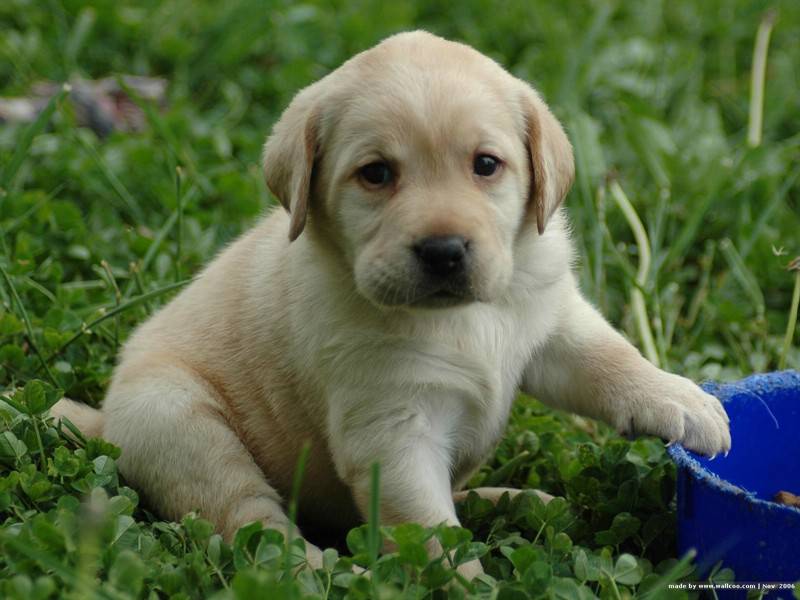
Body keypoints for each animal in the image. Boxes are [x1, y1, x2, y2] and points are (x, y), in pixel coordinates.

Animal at [54, 30, 732, 576]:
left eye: (486, 165)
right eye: (376, 174)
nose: (444, 251)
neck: (462, 318)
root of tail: (105, 421)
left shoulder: (549, 323)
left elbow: (607, 356)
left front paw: (681, 400)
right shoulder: (393, 433)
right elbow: (430, 535)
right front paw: (468, 585)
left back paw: (513, 501)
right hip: (177, 419)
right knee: (255, 525)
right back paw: (321, 570)